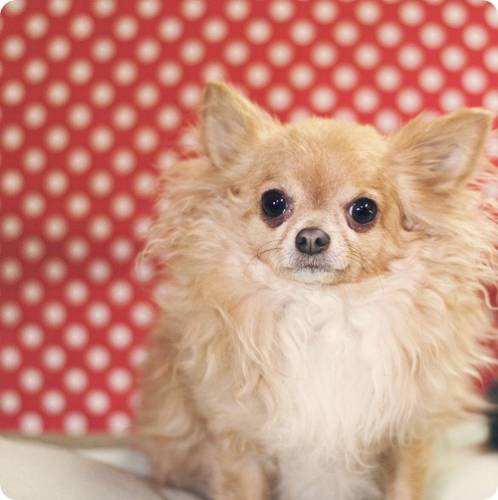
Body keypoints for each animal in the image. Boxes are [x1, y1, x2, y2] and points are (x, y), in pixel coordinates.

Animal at [137, 82, 497, 500]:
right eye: (273, 203)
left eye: (364, 211)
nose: (311, 237)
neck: (323, 308)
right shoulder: (237, 437)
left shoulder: (406, 433)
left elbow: (405, 486)